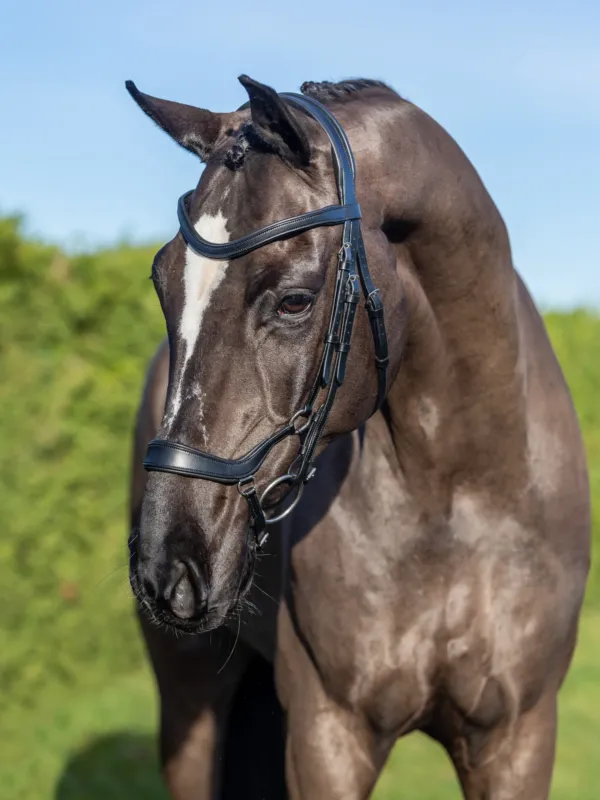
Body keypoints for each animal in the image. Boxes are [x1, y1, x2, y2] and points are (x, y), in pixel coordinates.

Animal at [126, 75, 590, 799]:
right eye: (162, 280)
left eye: (294, 299)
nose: (167, 566)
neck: (457, 492)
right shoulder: (328, 736)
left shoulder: (518, 738)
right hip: (189, 699)